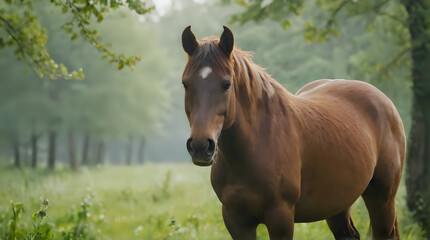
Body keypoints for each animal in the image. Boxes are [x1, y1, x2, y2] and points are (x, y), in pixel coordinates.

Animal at [181, 26, 406, 240]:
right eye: (185, 83)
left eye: (226, 84)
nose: (200, 146)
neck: (258, 143)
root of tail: (384, 100)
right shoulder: (236, 220)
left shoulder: (280, 218)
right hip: (337, 205)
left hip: (382, 199)